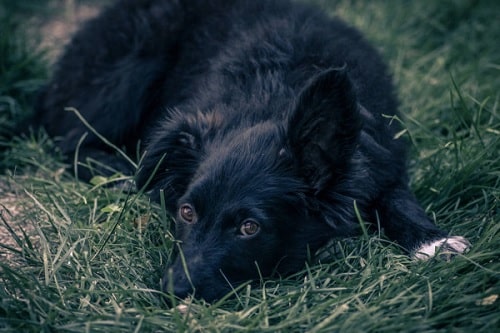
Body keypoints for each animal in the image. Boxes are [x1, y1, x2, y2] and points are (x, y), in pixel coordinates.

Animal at [35, 0, 468, 300]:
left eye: (249, 228)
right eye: (186, 212)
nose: (173, 291)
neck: (274, 97)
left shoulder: (381, 155)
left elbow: (397, 196)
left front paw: (433, 241)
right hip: (132, 67)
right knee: (74, 142)